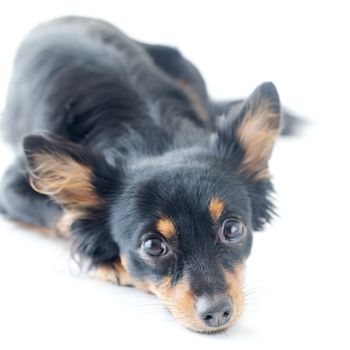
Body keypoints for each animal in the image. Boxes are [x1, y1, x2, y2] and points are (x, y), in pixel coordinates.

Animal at [0, 17, 298, 334]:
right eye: (153, 246)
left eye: (232, 229)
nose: (217, 313)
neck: (152, 134)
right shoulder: (10, 188)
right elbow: (64, 218)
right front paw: (105, 259)